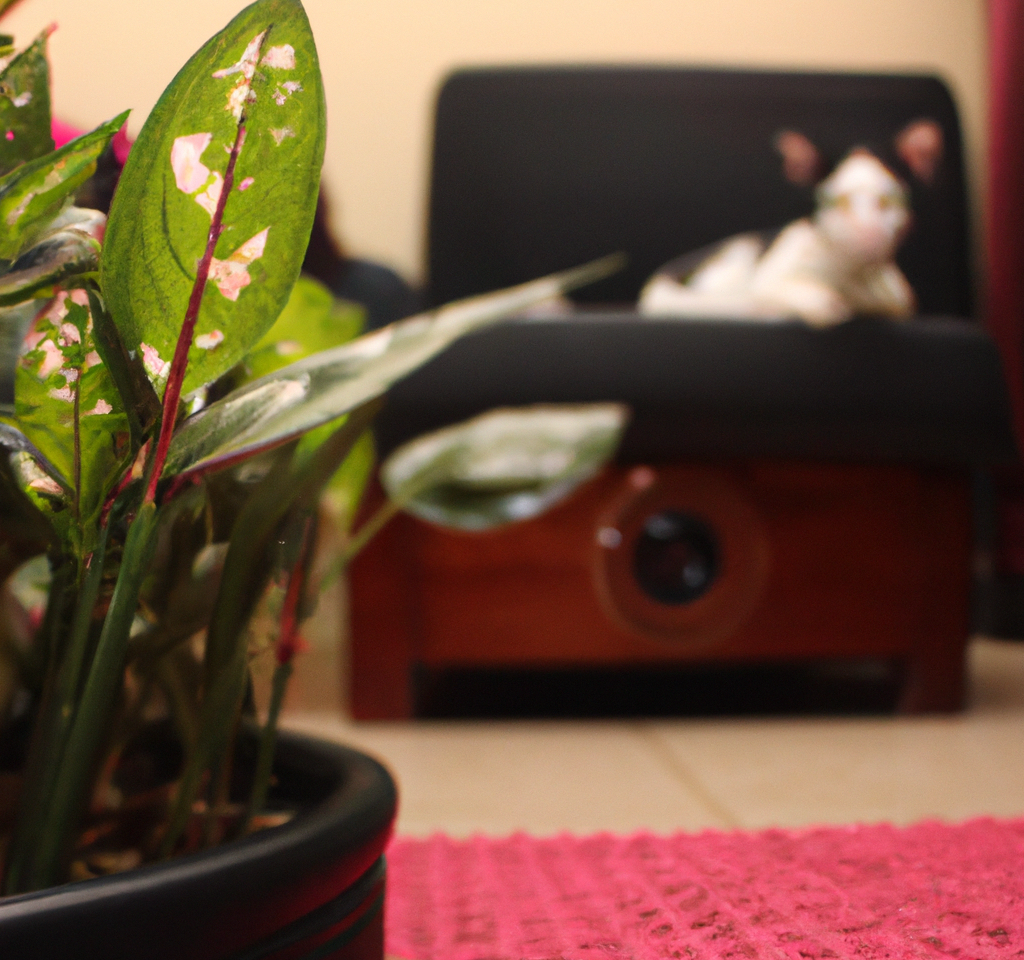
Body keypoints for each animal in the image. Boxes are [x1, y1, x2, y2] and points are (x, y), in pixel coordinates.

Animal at [638, 119, 942, 327]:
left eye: (889, 200)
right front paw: (821, 304)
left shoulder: (898, 298)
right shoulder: (772, 273)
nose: (867, 233)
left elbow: (898, 307)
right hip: (727, 271)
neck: (851, 277)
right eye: (832, 201)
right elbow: (788, 292)